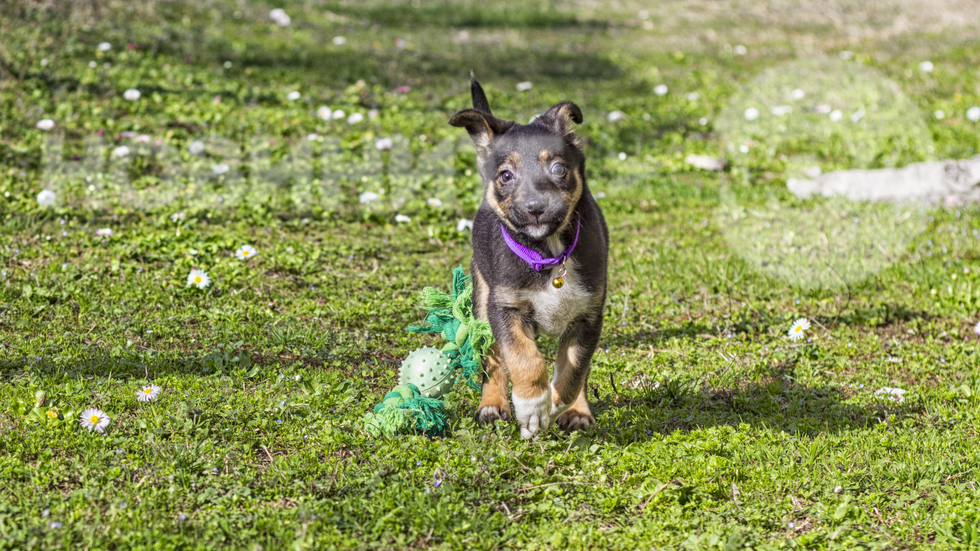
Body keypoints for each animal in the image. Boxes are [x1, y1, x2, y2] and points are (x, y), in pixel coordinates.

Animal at [450, 78, 604, 440]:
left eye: (558, 168)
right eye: (506, 175)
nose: (536, 207)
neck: (548, 253)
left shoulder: (589, 315)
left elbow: (574, 369)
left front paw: (558, 403)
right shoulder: (505, 307)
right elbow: (523, 357)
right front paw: (533, 407)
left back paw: (578, 412)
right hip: (482, 299)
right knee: (493, 358)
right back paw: (493, 405)